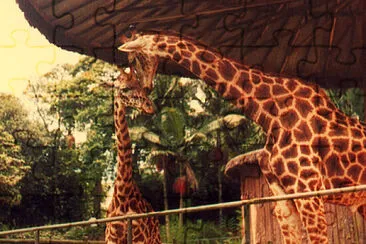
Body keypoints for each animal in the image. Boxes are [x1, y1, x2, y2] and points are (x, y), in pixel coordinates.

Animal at [105, 66, 161, 243]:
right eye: (124, 88)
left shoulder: (140, 239)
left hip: (155, 239)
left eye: (141, 87)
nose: (151, 106)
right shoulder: (110, 239)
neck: (123, 196)